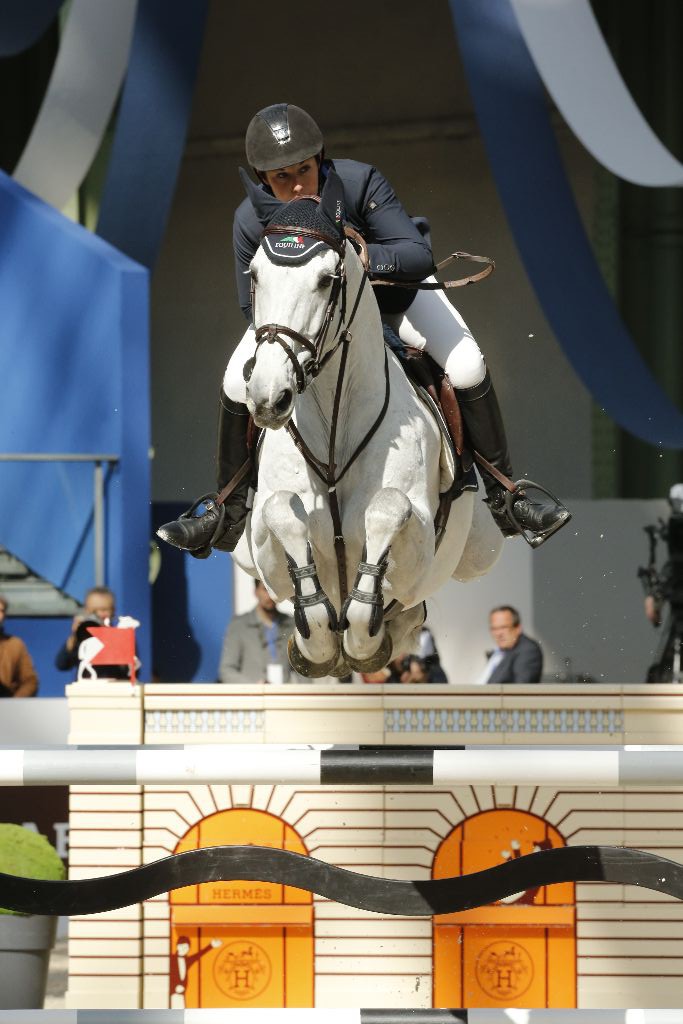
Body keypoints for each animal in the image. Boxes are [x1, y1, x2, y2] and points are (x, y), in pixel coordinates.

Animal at [232, 171, 499, 675]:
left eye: (325, 280)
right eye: (254, 275)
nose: (270, 398)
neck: (334, 427)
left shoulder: (419, 545)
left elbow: (388, 507)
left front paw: (361, 637)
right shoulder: (262, 547)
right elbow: (280, 512)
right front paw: (315, 635)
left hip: (479, 552)